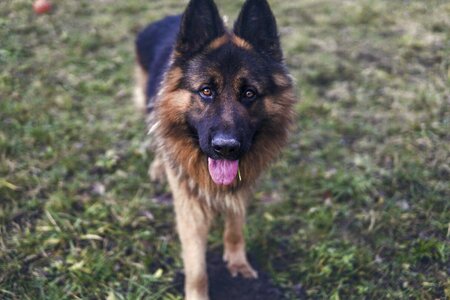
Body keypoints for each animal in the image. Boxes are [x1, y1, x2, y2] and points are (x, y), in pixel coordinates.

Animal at [134, 0, 296, 298]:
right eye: (206, 91)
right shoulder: (189, 208)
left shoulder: (242, 188)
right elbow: (197, 268)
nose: (226, 148)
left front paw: (238, 263)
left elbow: (235, 227)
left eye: (249, 93)